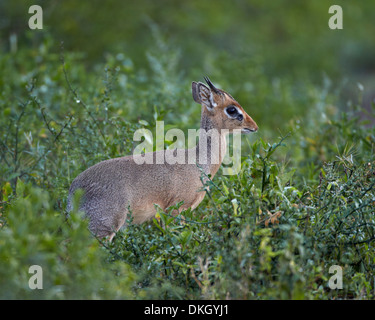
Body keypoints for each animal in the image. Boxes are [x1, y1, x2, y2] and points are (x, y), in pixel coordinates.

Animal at [67, 77, 258, 240]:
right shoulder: (176, 210)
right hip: (103, 229)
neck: (198, 161)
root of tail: (73, 191)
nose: (254, 126)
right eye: (232, 109)